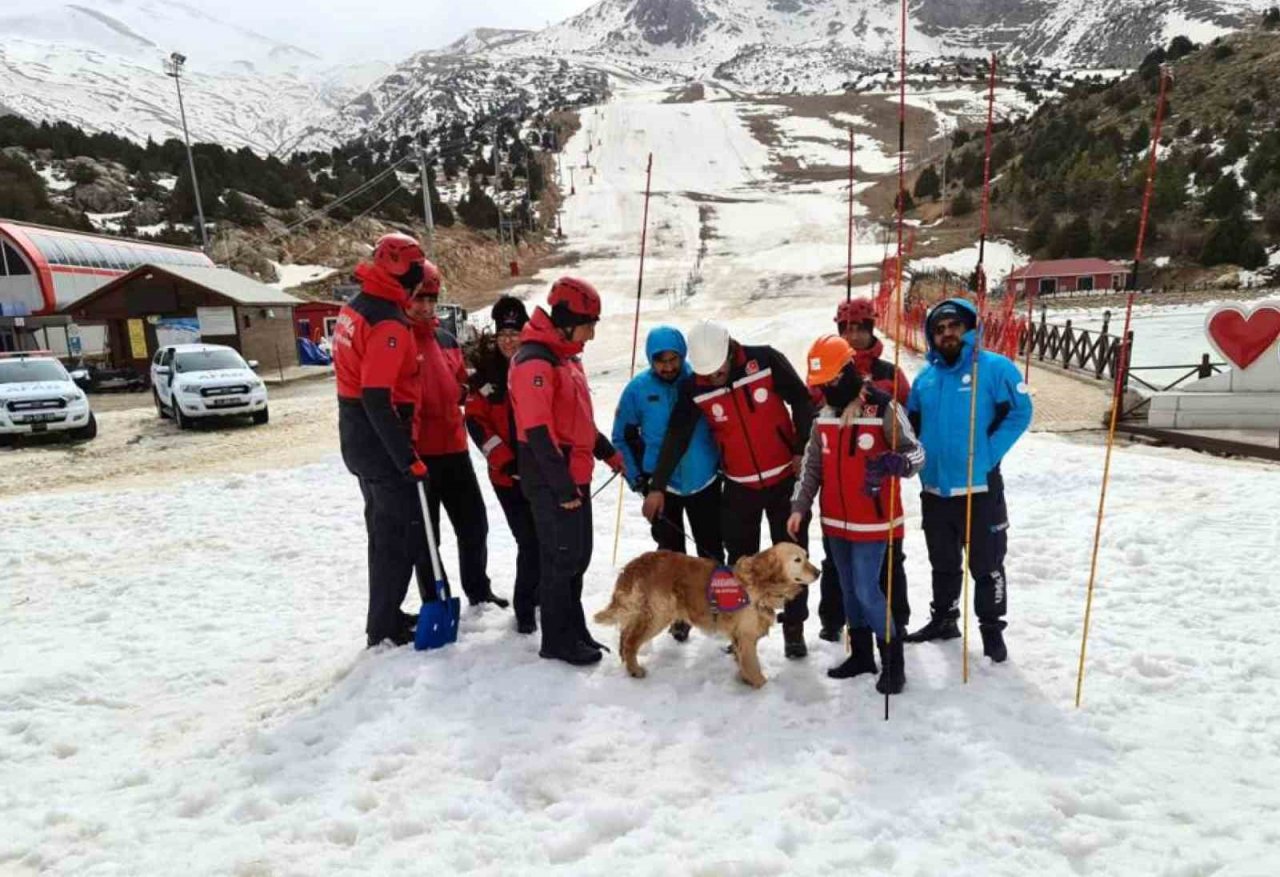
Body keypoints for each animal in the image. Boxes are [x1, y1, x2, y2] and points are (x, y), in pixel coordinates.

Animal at [591, 540, 819, 691]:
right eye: (798, 560)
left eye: (807, 556)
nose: (818, 572)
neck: (762, 582)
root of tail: (636, 564)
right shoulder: (746, 634)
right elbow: (752, 663)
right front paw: (760, 684)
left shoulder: (740, 636)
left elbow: (742, 660)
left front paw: (744, 678)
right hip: (658, 614)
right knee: (630, 642)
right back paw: (635, 670)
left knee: (624, 636)